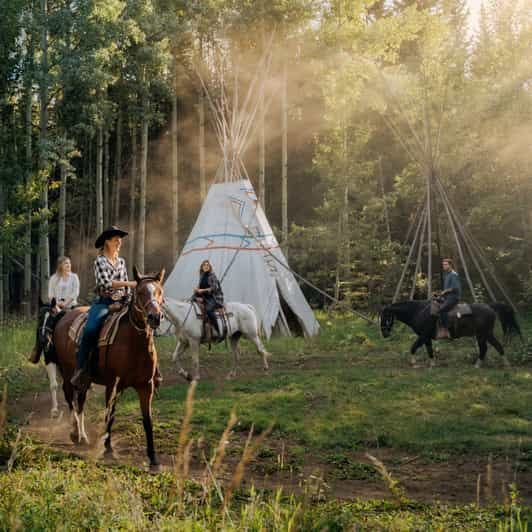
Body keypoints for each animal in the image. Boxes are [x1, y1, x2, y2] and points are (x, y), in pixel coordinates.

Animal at [33, 268, 164, 468]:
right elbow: (110, 415)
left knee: (80, 401)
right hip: (69, 370)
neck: (134, 343)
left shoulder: (146, 386)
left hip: (85, 379)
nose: (155, 317)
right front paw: (108, 450)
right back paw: (75, 433)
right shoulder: (112, 385)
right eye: (140, 292)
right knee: (69, 396)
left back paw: (83, 435)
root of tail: (65, 317)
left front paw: (153, 459)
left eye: (160, 291)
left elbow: (147, 420)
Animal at [380, 302, 520, 368]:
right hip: (481, 335)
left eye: (386, 317)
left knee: (496, 347)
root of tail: (490, 307)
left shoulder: (423, 336)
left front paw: (414, 363)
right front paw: (432, 364)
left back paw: (505, 365)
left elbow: (413, 348)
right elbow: (430, 351)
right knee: (485, 349)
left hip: (485, 334)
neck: (418, 311)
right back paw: (478, 365)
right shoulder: (427, 338)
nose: (384, 334)